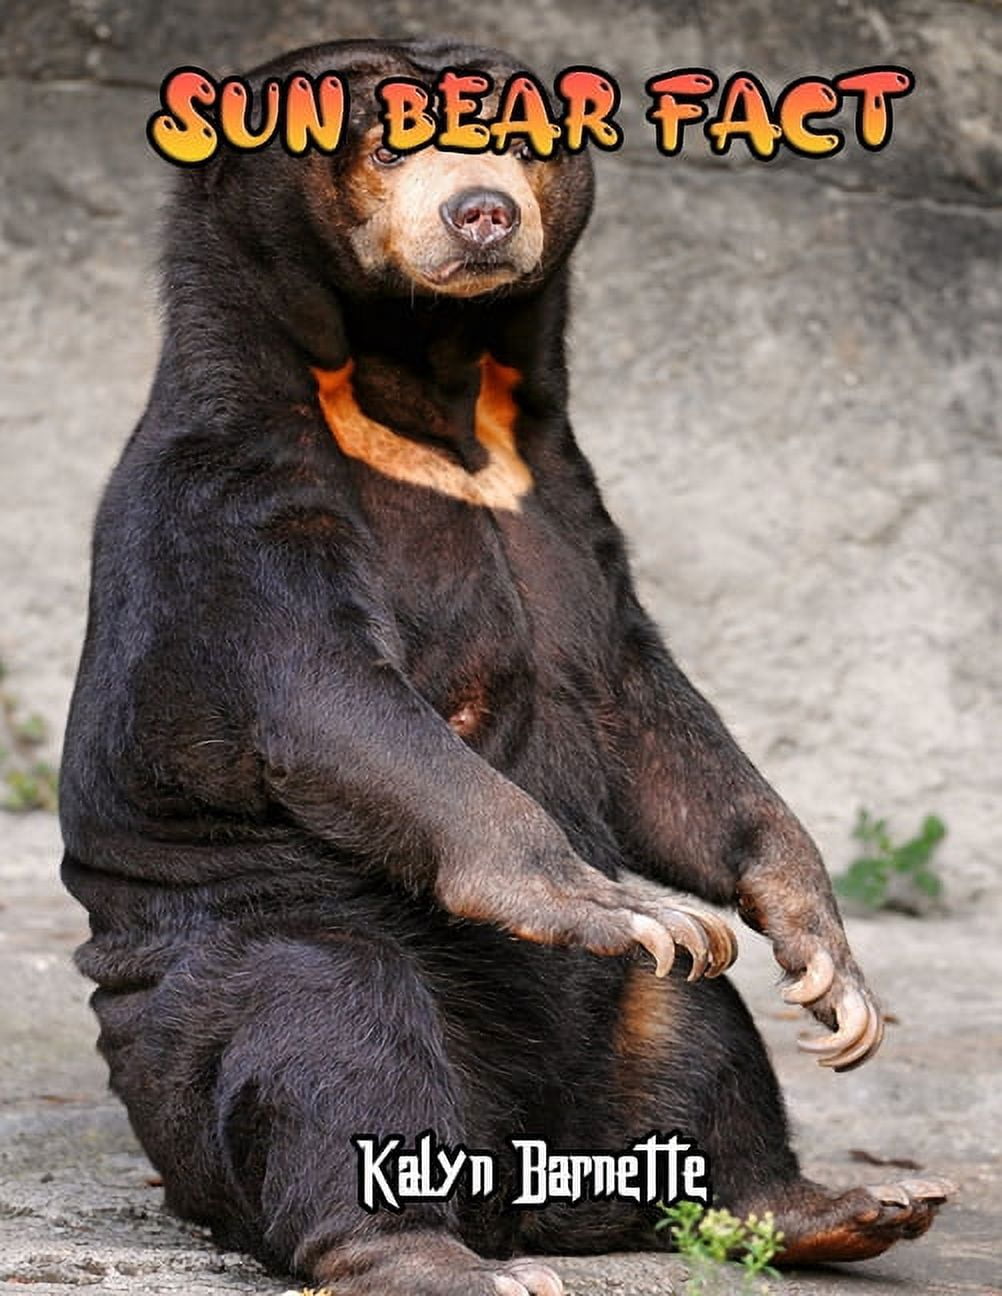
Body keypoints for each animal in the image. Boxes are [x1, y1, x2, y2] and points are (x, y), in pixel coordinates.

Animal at [59, 36, 951, 1295]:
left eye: (525, 138)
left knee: (697, 1025)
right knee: (333, 1028)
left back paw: (831, 1204)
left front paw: (830, 970)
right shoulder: (233, 496)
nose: (481, 210)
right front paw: (596, 895)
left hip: (613, 1041)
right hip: (210, 1005)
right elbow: (330, 702)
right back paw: (437, 1256)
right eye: (386, 140)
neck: (430, 401)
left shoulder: (562, 502)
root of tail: (517, 1182)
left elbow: (648, 718)